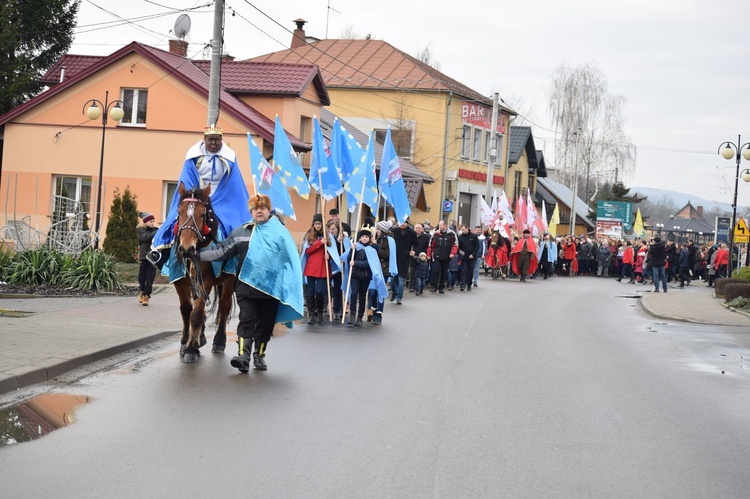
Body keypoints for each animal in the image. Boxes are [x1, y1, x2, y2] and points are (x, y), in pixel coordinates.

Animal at [176, 183, 235, 364]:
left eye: (202, 214)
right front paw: (186, 342)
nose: (186, 249)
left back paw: (219, 342)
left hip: (230, 279)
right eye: (179, 212)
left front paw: (191, 349)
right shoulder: (182, 282)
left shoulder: (206, 281)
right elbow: (186, 310)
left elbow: (195, 314)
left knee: (224, 305)